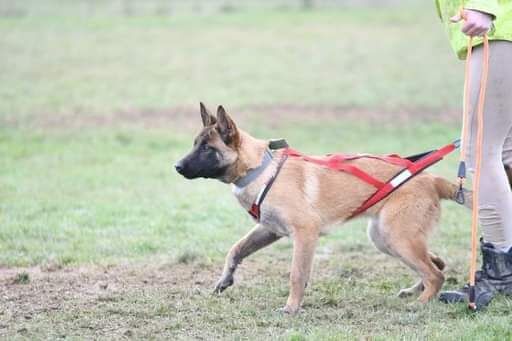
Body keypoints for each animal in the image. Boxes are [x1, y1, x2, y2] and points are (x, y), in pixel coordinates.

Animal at [174, 103, 470, 314]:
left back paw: (420, 303)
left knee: (435, 274)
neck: (260, 169)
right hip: (385, 238)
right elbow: (235, 250)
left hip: (396, 236)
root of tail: (431, 178)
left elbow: (297, 274)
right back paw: (414, 291)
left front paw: (292, 307)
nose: (176, 166)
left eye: (207, 148)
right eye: (194, 144)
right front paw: (224, 280)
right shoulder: (269, 230)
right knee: (436, 264)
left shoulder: (305, 233)